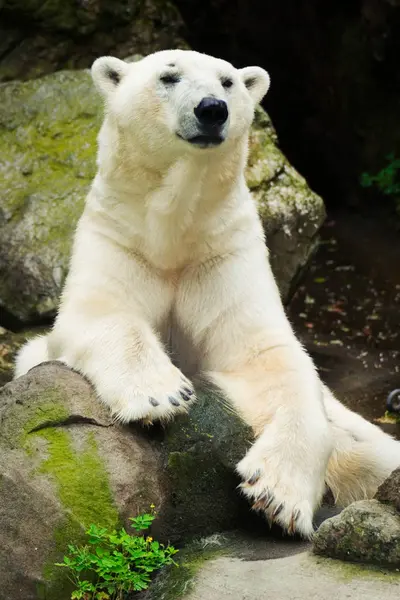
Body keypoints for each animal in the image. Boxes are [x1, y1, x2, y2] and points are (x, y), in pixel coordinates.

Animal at [15, 50, 400, 540]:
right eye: (168, 76)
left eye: (228, 81)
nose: (212, 109)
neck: (175, 231)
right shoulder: (121, 236)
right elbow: (99, 312)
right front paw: (162, 395)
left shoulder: (223, 249)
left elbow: (269, 357)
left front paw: (276, 495)